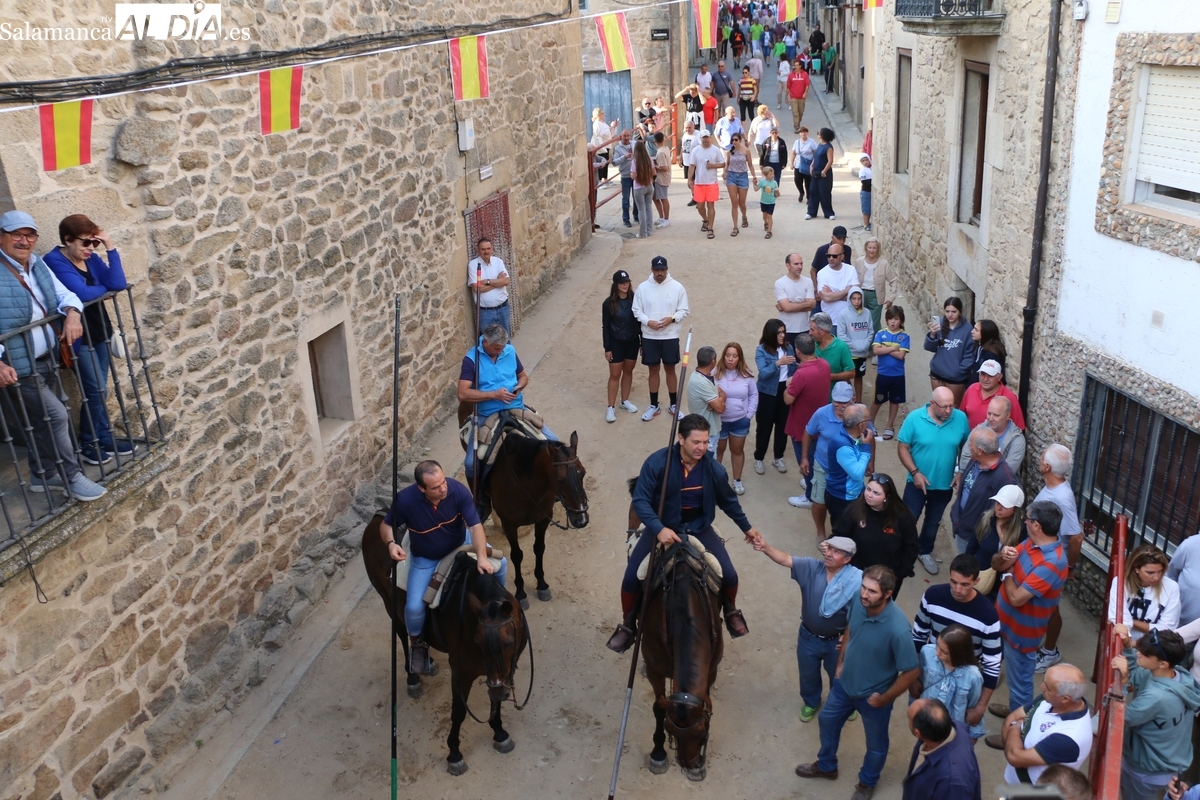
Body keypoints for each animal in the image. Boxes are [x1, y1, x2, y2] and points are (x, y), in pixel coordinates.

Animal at [361, 516, 530, 774]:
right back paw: (413, 677)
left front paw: (500, 733)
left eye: (509, 640)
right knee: (402, 632)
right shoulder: (462, 672)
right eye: (478, 641)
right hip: (389, 604)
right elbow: (459, 712)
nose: (499, 690)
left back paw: (426, 661)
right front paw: (454, 754)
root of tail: (376, 519)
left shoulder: (501, 672)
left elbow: (494, 702)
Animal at [639, 539, 724, 782]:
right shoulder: (655, 671)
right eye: (670, 730)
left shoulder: (711, 670)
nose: (690, 764)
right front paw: (658, 754)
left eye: (702, 731)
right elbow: (658, 708)